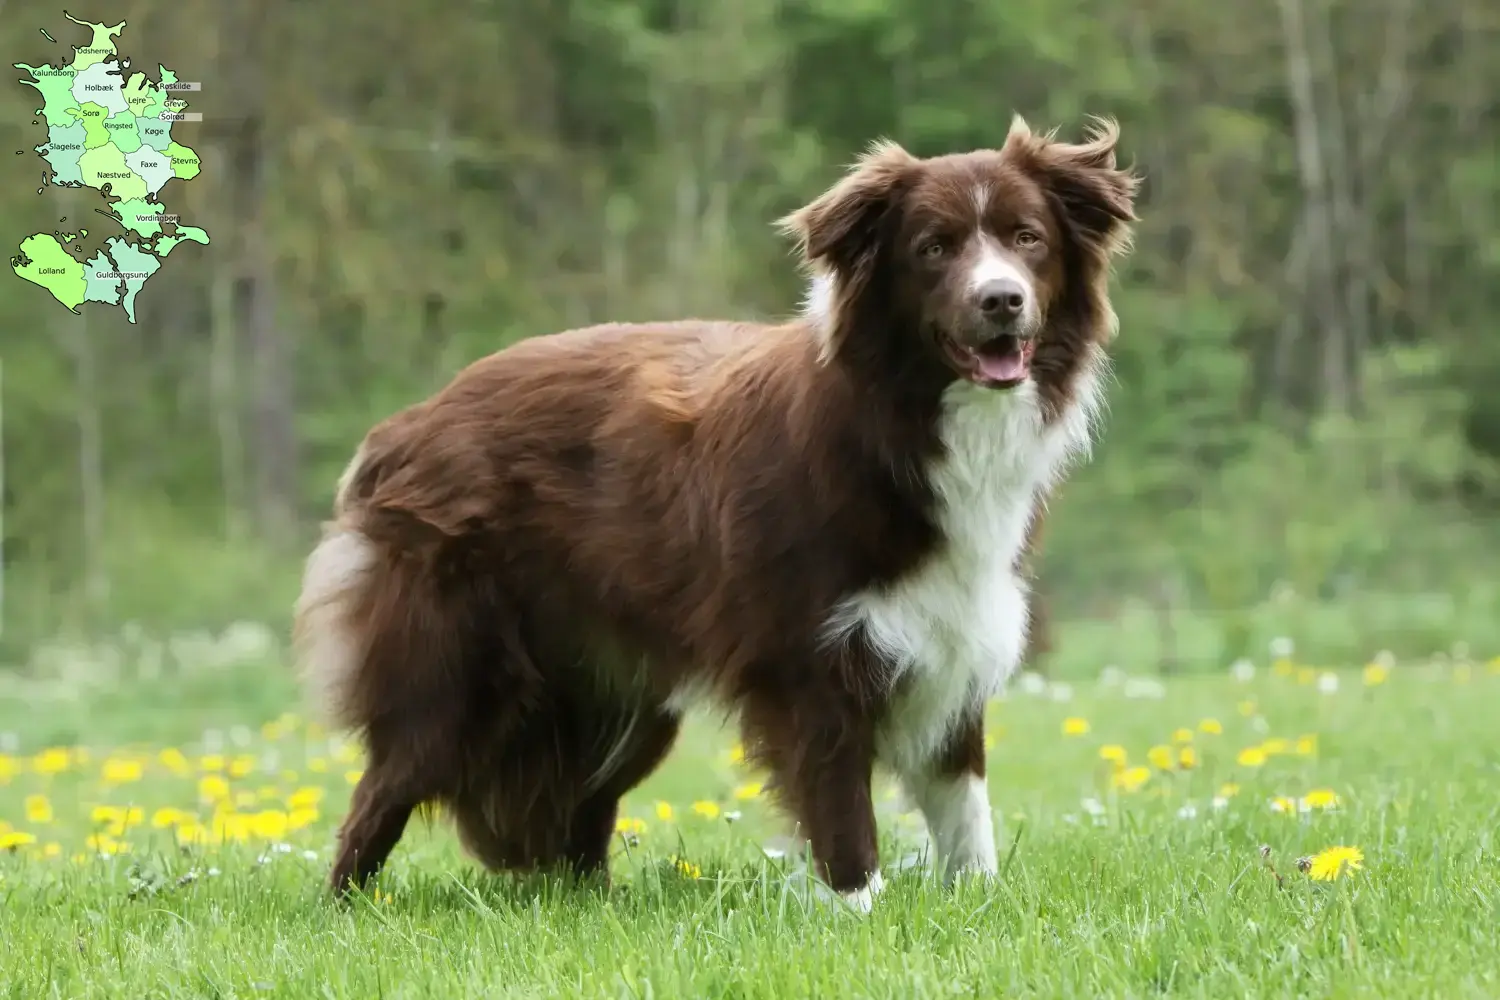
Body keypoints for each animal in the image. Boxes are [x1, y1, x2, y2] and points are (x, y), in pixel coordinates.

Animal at [289, 113, 1134, 911]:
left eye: (1028, 239)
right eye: (933, 248)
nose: (1002, 301)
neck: (905, 418)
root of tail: (406, 424)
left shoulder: (952, 628)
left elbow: (965, 805)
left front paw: (979, 906)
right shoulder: (808, 654)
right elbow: (838, 805)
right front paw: (859, 910)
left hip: (610, 691)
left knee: (580, 804)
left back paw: (589, 905)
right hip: (462, 663)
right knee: (387, 785)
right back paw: (348, 907)